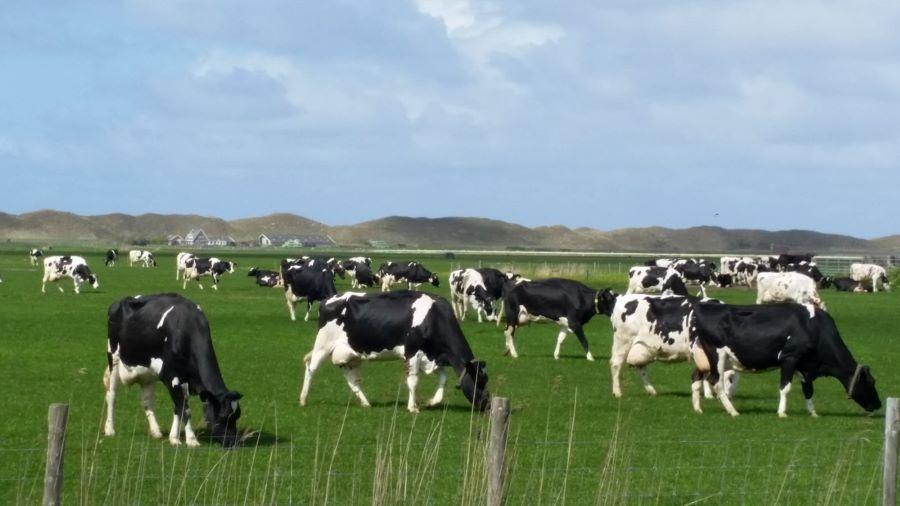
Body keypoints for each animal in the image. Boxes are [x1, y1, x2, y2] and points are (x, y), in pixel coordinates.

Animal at [103, 292, 243, 446]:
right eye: (223, 416)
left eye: (237, 415)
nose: (232, 442)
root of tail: (119, 301)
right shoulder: (171, 377)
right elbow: (184, 409)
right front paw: (191, 440)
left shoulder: (184, 379)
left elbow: (178, 408)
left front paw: (174, 438)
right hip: (114, 360)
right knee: (111, 396)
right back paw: (109, 429)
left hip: (148, 373)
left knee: (146, 400)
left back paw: (156, 431)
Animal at [298, 290, 488, 414]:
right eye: (479, 381)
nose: (487, 405)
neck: (434, 316)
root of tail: (327, 300)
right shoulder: (412, 352)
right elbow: (413, 381)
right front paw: (413, 407)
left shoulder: (432, 356)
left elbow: (443, 378)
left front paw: (432, 402)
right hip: (323, 344)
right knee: (310, 369)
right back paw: (303, 399)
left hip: (350, 354)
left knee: (352, 380)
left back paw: (366, 403)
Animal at [688, 302, 880, 418]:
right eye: (871, 382)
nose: (878, 404)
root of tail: (702, 306)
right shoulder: (790, 358)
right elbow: (785, 388)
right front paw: (782, 413)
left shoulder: (804, 365)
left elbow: (808, 389)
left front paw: (813, 412)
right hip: (717, 355)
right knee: (716, 382)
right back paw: (732, 411)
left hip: (704, 358)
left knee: (696, 377)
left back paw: (698, 409)